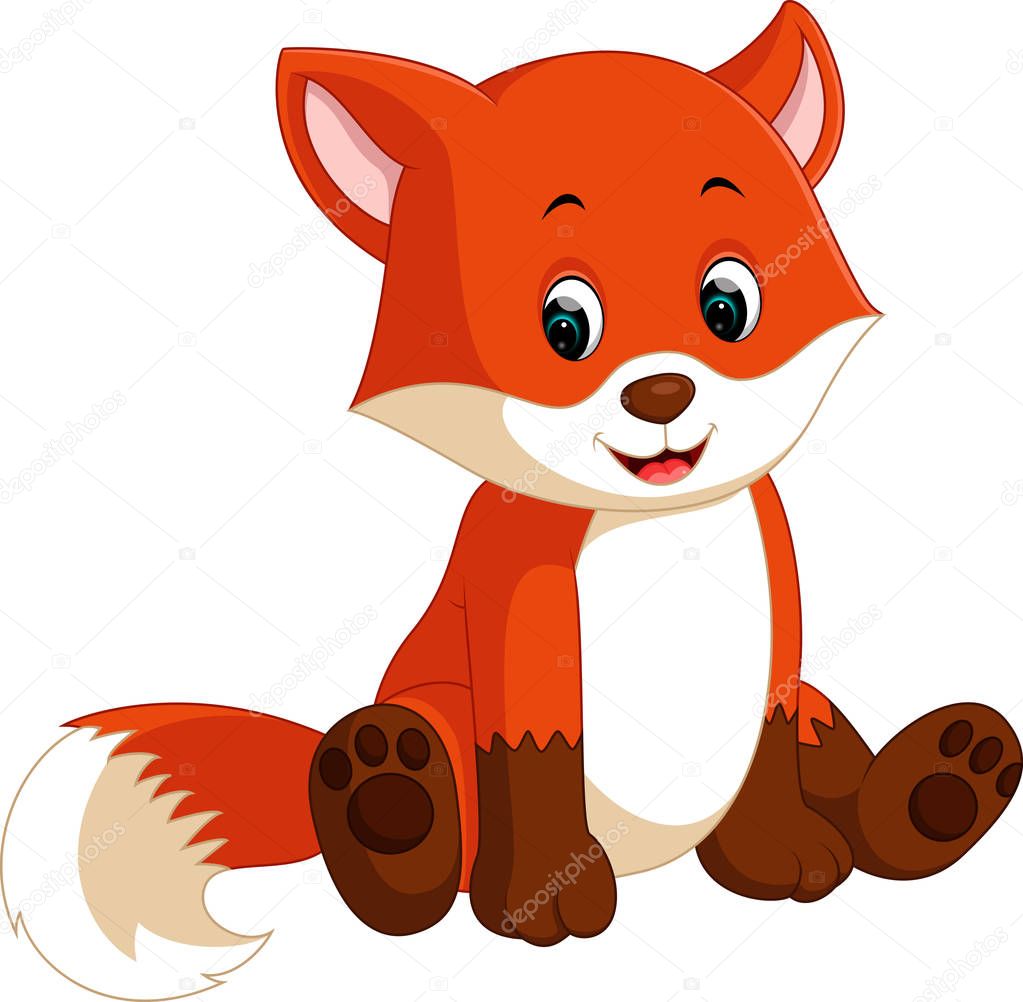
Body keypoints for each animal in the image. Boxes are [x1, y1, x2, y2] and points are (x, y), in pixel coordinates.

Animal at [3, 3, 1021, 997]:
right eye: (564, 324)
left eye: (726, 305)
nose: (661, 393)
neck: (656, 528)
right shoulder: (520, 611)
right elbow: (535, 759)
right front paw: (543, 898)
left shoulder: (775, 607)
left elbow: (770, 744)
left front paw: (780, 851)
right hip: (436, 712)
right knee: (416, 809)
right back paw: (387, 804)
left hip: (816, 709)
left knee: (835, 758)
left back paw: (944, 784)